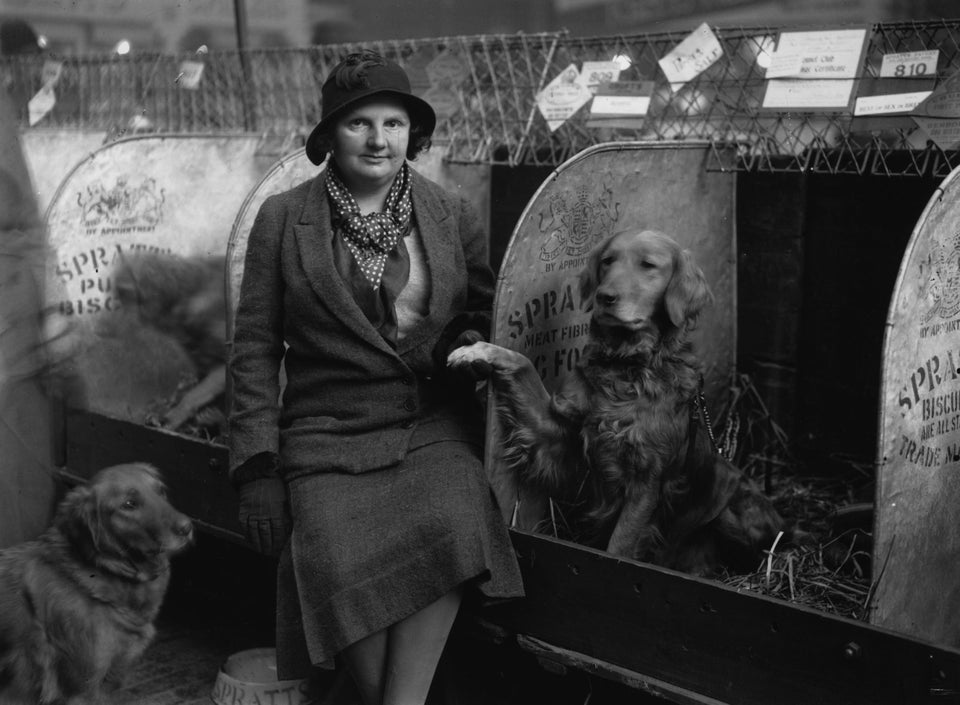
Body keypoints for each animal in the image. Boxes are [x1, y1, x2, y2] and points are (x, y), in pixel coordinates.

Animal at [454, 228, 784, 576]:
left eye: (648, 265)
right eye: (608, 261)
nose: (605, 297)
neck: (626, 365)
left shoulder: (646, 482)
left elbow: (621, 546)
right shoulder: (558, 432)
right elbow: (524, 364)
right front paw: (477, 350)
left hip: (732, 511)